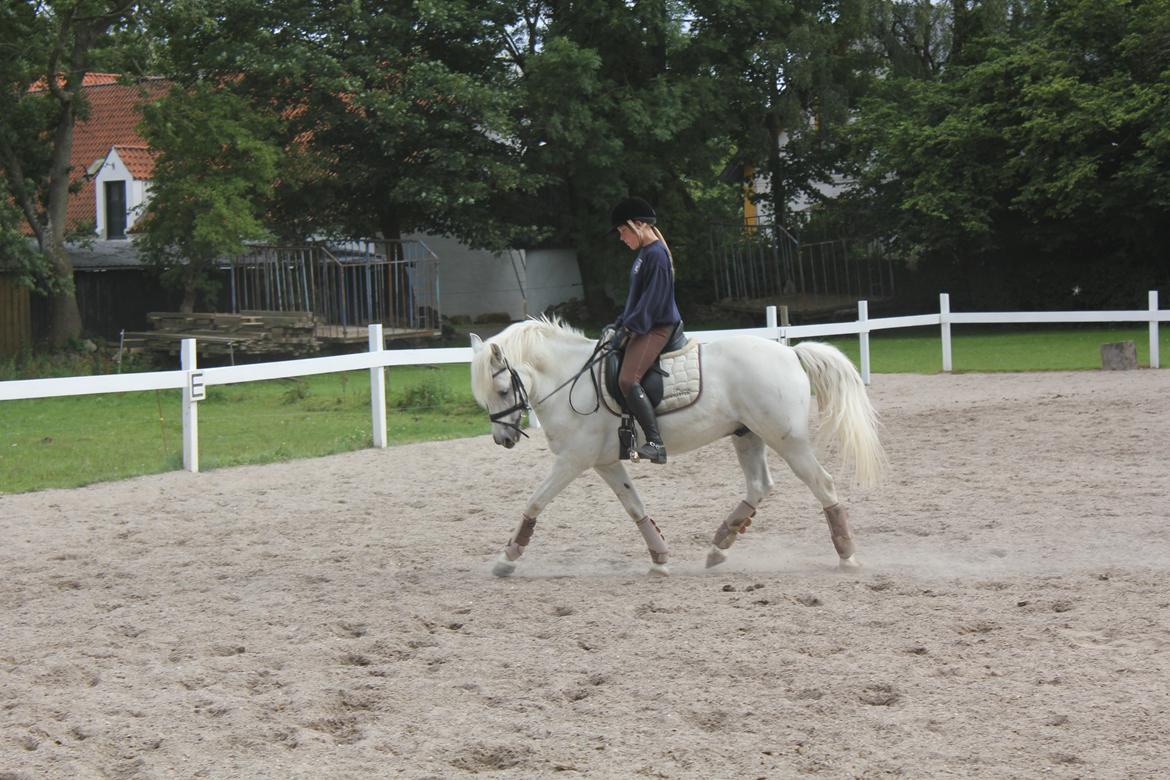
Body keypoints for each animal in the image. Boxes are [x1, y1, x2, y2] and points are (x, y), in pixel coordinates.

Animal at [470, 313, 879, 577]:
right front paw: (660, 557)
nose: (503, 439)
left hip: (787, 439)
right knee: (759, 486)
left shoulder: (573, 460)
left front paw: (507, 559)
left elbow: (535, 502)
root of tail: (790, 353)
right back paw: (718, 546)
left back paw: (847, 557)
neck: (573, 379)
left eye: (503, 390)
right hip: (748, 436)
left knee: (822, 484)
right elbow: (634, 506)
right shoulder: (605, 462)